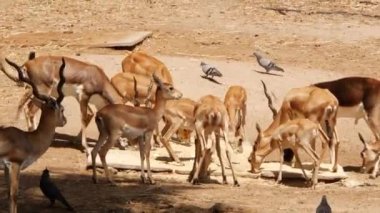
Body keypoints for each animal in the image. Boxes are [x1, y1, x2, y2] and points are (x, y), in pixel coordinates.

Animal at [0, 58, 67, 213]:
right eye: (62, 109)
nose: (65, 120)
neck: (29, 139)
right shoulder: (14, 165)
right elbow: (14, 196)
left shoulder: (6, 168)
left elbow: (7, 195)